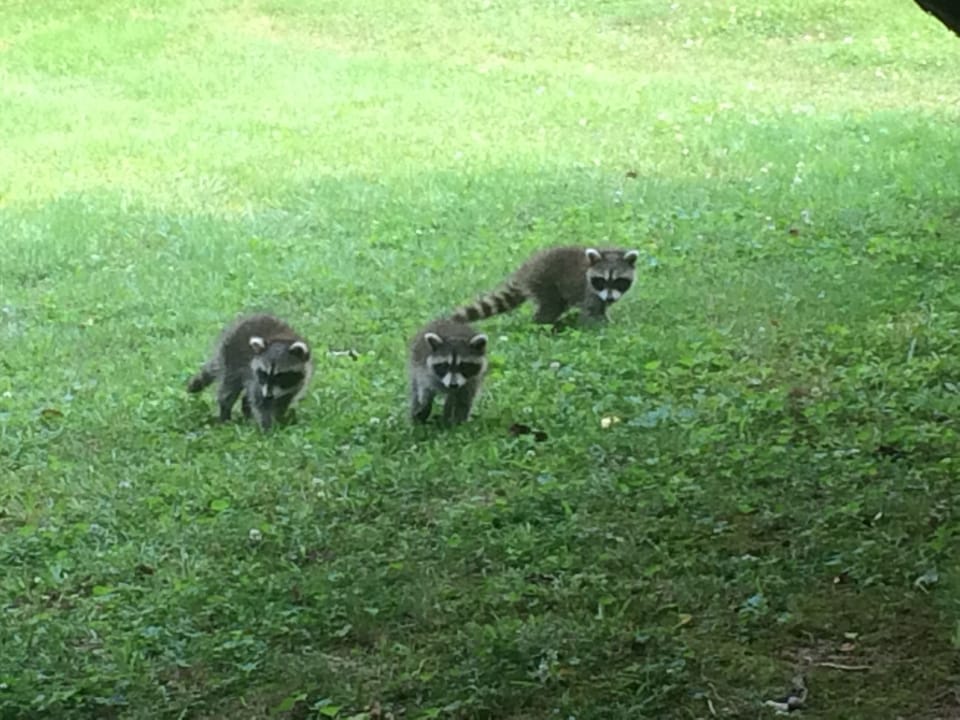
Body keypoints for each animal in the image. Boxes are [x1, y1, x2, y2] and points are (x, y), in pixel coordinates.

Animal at [450, 245, 640, 325]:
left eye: (618, 281)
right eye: (601, 280)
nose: (610, 298)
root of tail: (526, 269)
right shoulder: (589, 291)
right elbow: (592, 313)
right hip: (544, 282)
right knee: (550, 308)